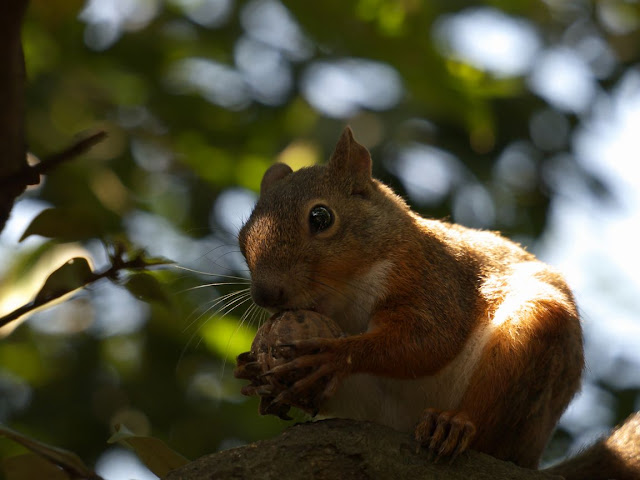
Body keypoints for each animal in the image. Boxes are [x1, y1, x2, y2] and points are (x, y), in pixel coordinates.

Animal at [235, 125, 640, 478]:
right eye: (242, 237)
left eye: (321, 217)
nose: (266, 294)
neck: (344, 298)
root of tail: (530, 458)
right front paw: (253, 370)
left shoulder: (433, 280)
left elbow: (431, 340)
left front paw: (335, 356)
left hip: (532, 342)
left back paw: (454, 424)